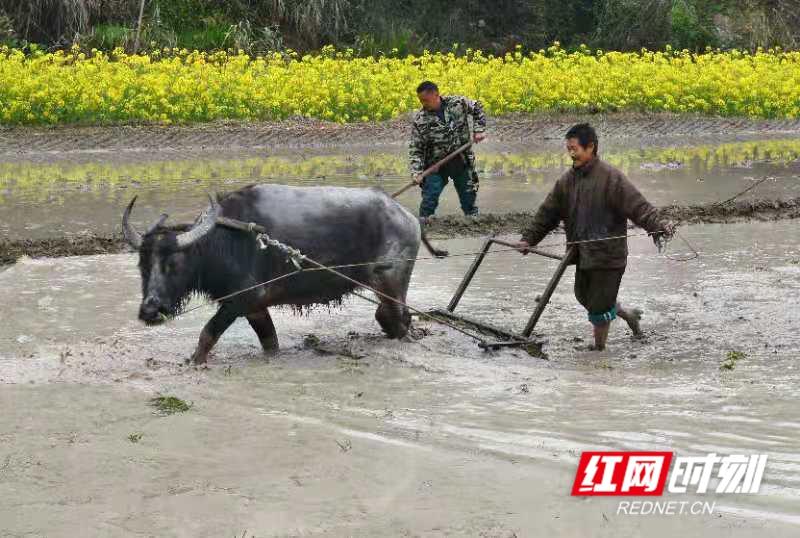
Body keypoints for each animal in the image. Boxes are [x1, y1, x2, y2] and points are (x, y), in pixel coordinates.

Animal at [122, 182, 446, 362]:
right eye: (142, 264)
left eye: (174, 264)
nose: (150, 310)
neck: (223, 243)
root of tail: (408, 217)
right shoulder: (255, 308)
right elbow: (270, 342)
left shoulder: (239, 301)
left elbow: (206, 336)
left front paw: (193, 362)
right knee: (388, 317)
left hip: (392, 282)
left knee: (399, 319)